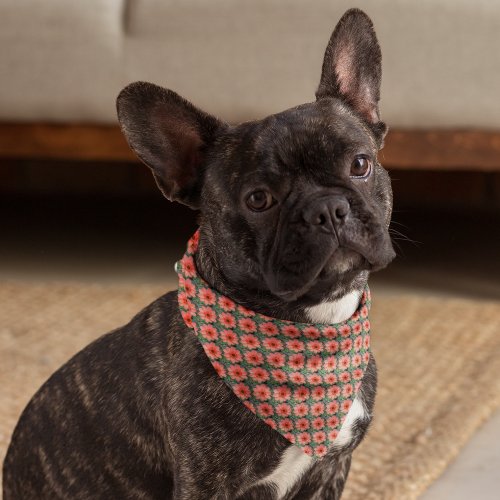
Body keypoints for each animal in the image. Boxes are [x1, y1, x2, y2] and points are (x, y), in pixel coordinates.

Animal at [2, 8, 394, 500]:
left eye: (360, 164)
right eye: (258, 199)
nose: (326, 208)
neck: (311, 331)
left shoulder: (331, 469)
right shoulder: (205, 483)